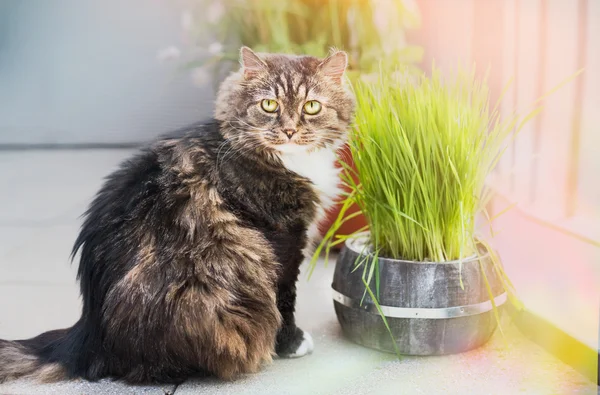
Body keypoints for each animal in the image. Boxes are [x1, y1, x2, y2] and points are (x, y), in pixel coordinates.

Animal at [0, 45, 356, 384]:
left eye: (312, 107)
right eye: (269, 105)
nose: (290, 131)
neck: (286, 160)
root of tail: (87, 334)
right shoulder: (283, 237)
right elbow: (285, 298)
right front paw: (292, 344)